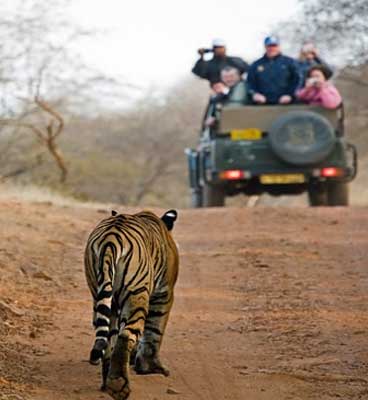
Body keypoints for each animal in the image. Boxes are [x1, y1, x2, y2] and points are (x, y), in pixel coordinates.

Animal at [85, 208, 180, 398]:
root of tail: (110, 238)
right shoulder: (164, 294)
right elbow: (154, 331)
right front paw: (150, 367)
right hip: (136, 294)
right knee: (125, 335)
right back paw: (119, 385)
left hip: (102, 294)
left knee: (109, 338)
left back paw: (109, 383)